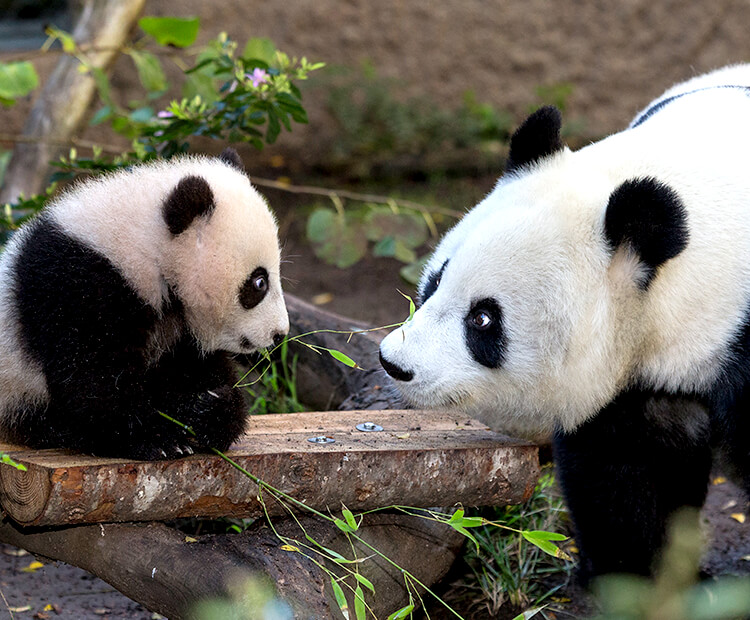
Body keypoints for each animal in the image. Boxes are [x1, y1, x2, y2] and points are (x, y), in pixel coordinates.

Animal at [0, 149, 290, 460]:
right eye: (259, 283)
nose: (279, 334)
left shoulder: (180, 324)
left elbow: (189, 368)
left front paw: (208, 409)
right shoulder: (77, 286)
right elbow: (92, 379)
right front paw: (158, 439)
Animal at [382, 65, 750, 584]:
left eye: (483, 319)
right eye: (434, 282)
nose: (395, 363)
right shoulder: (637, 369)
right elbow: (627, 466)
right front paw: (639, 580)